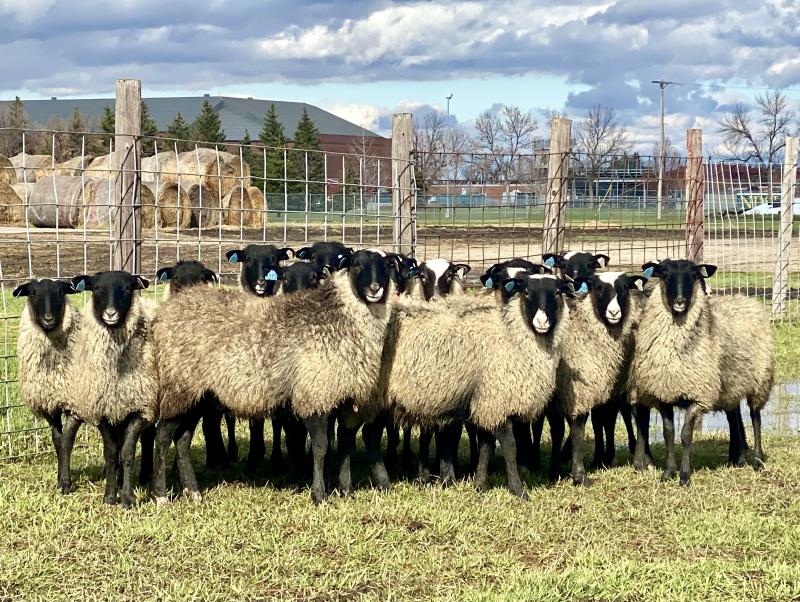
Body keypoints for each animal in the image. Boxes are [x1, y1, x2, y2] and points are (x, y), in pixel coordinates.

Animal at [13, 279, 83, 494]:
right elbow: (57, 440)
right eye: (32, 293)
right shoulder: (49, 404)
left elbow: (67, 441)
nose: (48, 319)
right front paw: (59, 480)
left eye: (60, 292)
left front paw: (66, 483)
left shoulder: (75, 404)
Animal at [67, 271, 156, 507]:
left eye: (127, 288)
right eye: (97, 288)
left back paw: (144, 476)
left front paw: (127, 498)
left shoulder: (140, 409)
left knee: (148, 439)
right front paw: (109, 495)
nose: (110, 313)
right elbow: (110, 453)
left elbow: (127, 453)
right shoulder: (102, 411)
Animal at [151, 249, 400, 504]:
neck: (338, 315)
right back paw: (161, 495)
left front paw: (345, 490)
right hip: (180, 385)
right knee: (162, 437)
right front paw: (319, 495)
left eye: (386, 265)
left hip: (198, 394)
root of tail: (164, 314)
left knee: (182, 439)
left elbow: (344, 445)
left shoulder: (344, 400)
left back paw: (193, 491)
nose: (375, 288)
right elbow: (320, 447)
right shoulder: (313, 393)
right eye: (356, 264)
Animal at [383, 273, 574, 497]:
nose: (541, 321)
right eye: (527, 292)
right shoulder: (497, 402)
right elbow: (510, 447)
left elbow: (486, 446)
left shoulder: (485, 404)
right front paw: (518, 490)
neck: (512, 339)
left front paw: (481, 485)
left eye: (558, 292)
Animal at [629, 259, 773, 485]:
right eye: (665, 275)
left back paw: (758, 460)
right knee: (734, 417)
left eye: (693, 276)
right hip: (731, 385)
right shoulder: (664, 394)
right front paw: (668, 472)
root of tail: (745, 298)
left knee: (755, 417)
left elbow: (686, 435)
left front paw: (684, 476)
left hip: (759, 380)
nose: (680, 301)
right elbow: (668, 433)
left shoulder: (698, 396)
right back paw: (738, 458)